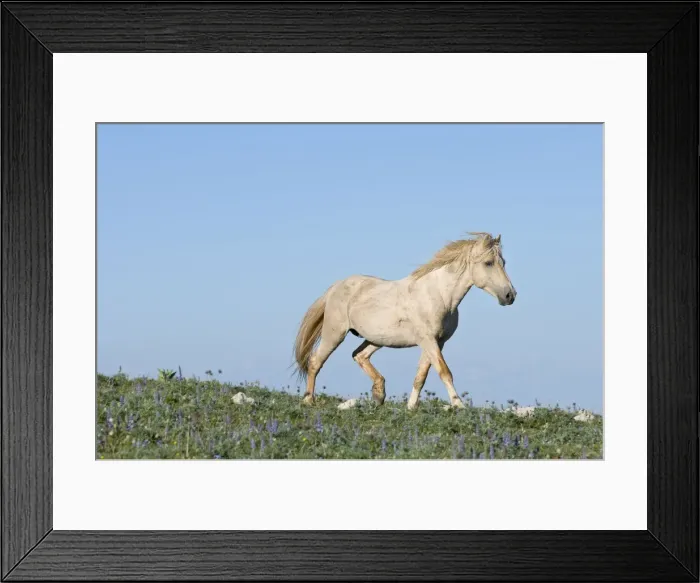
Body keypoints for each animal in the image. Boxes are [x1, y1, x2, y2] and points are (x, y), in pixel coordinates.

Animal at [292, 232, 517, 410]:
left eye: (503, 262)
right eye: (488, 263)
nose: (510, 296)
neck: (438, 295)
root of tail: (335, 287)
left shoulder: (437, 342)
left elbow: (420, 377)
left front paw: (411, 408)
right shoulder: (428, 340)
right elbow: (444, 372)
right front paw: (458, 405)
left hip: (377, 339)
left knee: (359, 355)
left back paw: (379, 394)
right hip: (335, 333)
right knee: (316, 361)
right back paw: (309, 400)